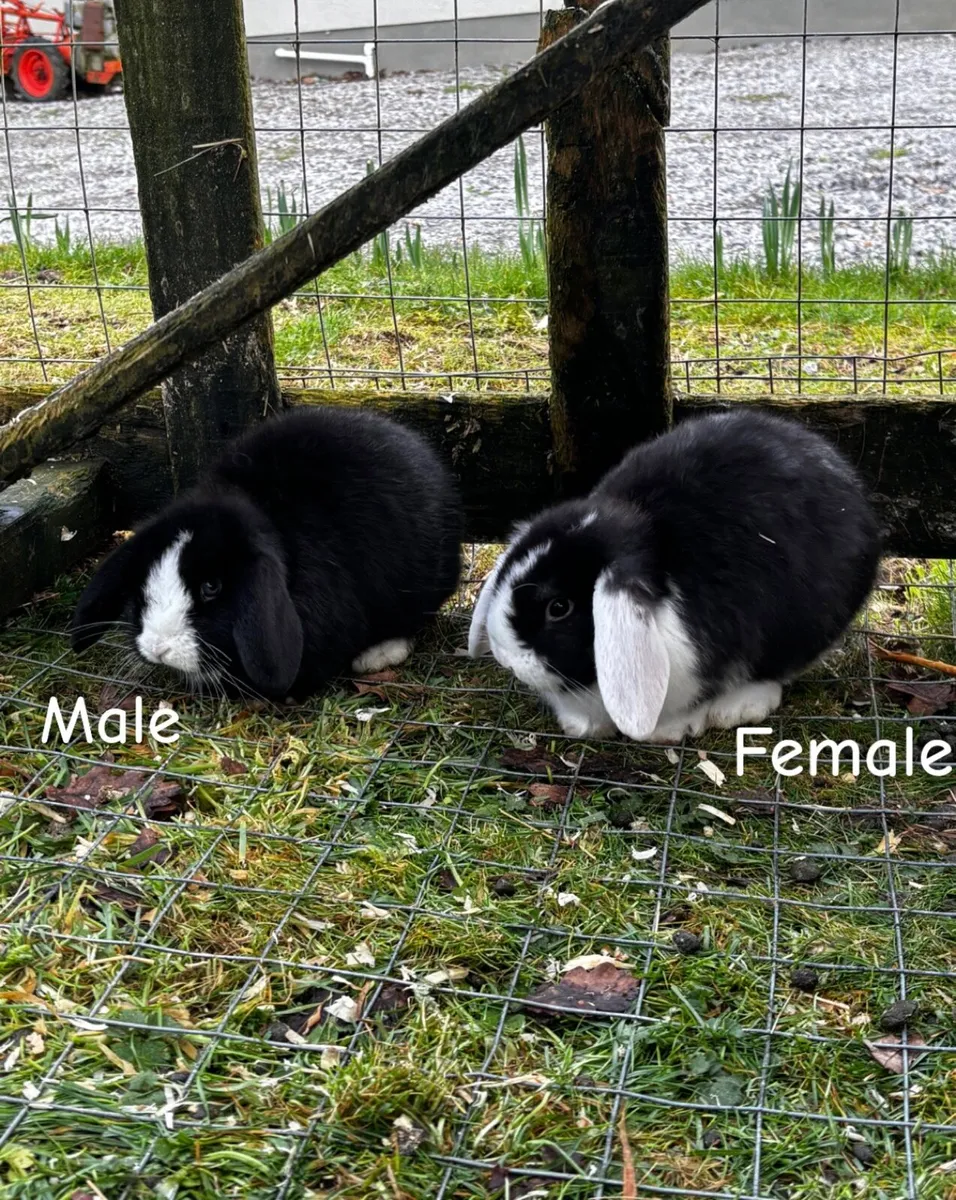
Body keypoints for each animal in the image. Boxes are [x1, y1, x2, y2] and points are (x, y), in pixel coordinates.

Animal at [468, 409, 881, 742]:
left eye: (559, 607)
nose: (505, 658)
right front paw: (580, 725)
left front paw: (668, 733)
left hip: (806, 623)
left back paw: (738, 706)